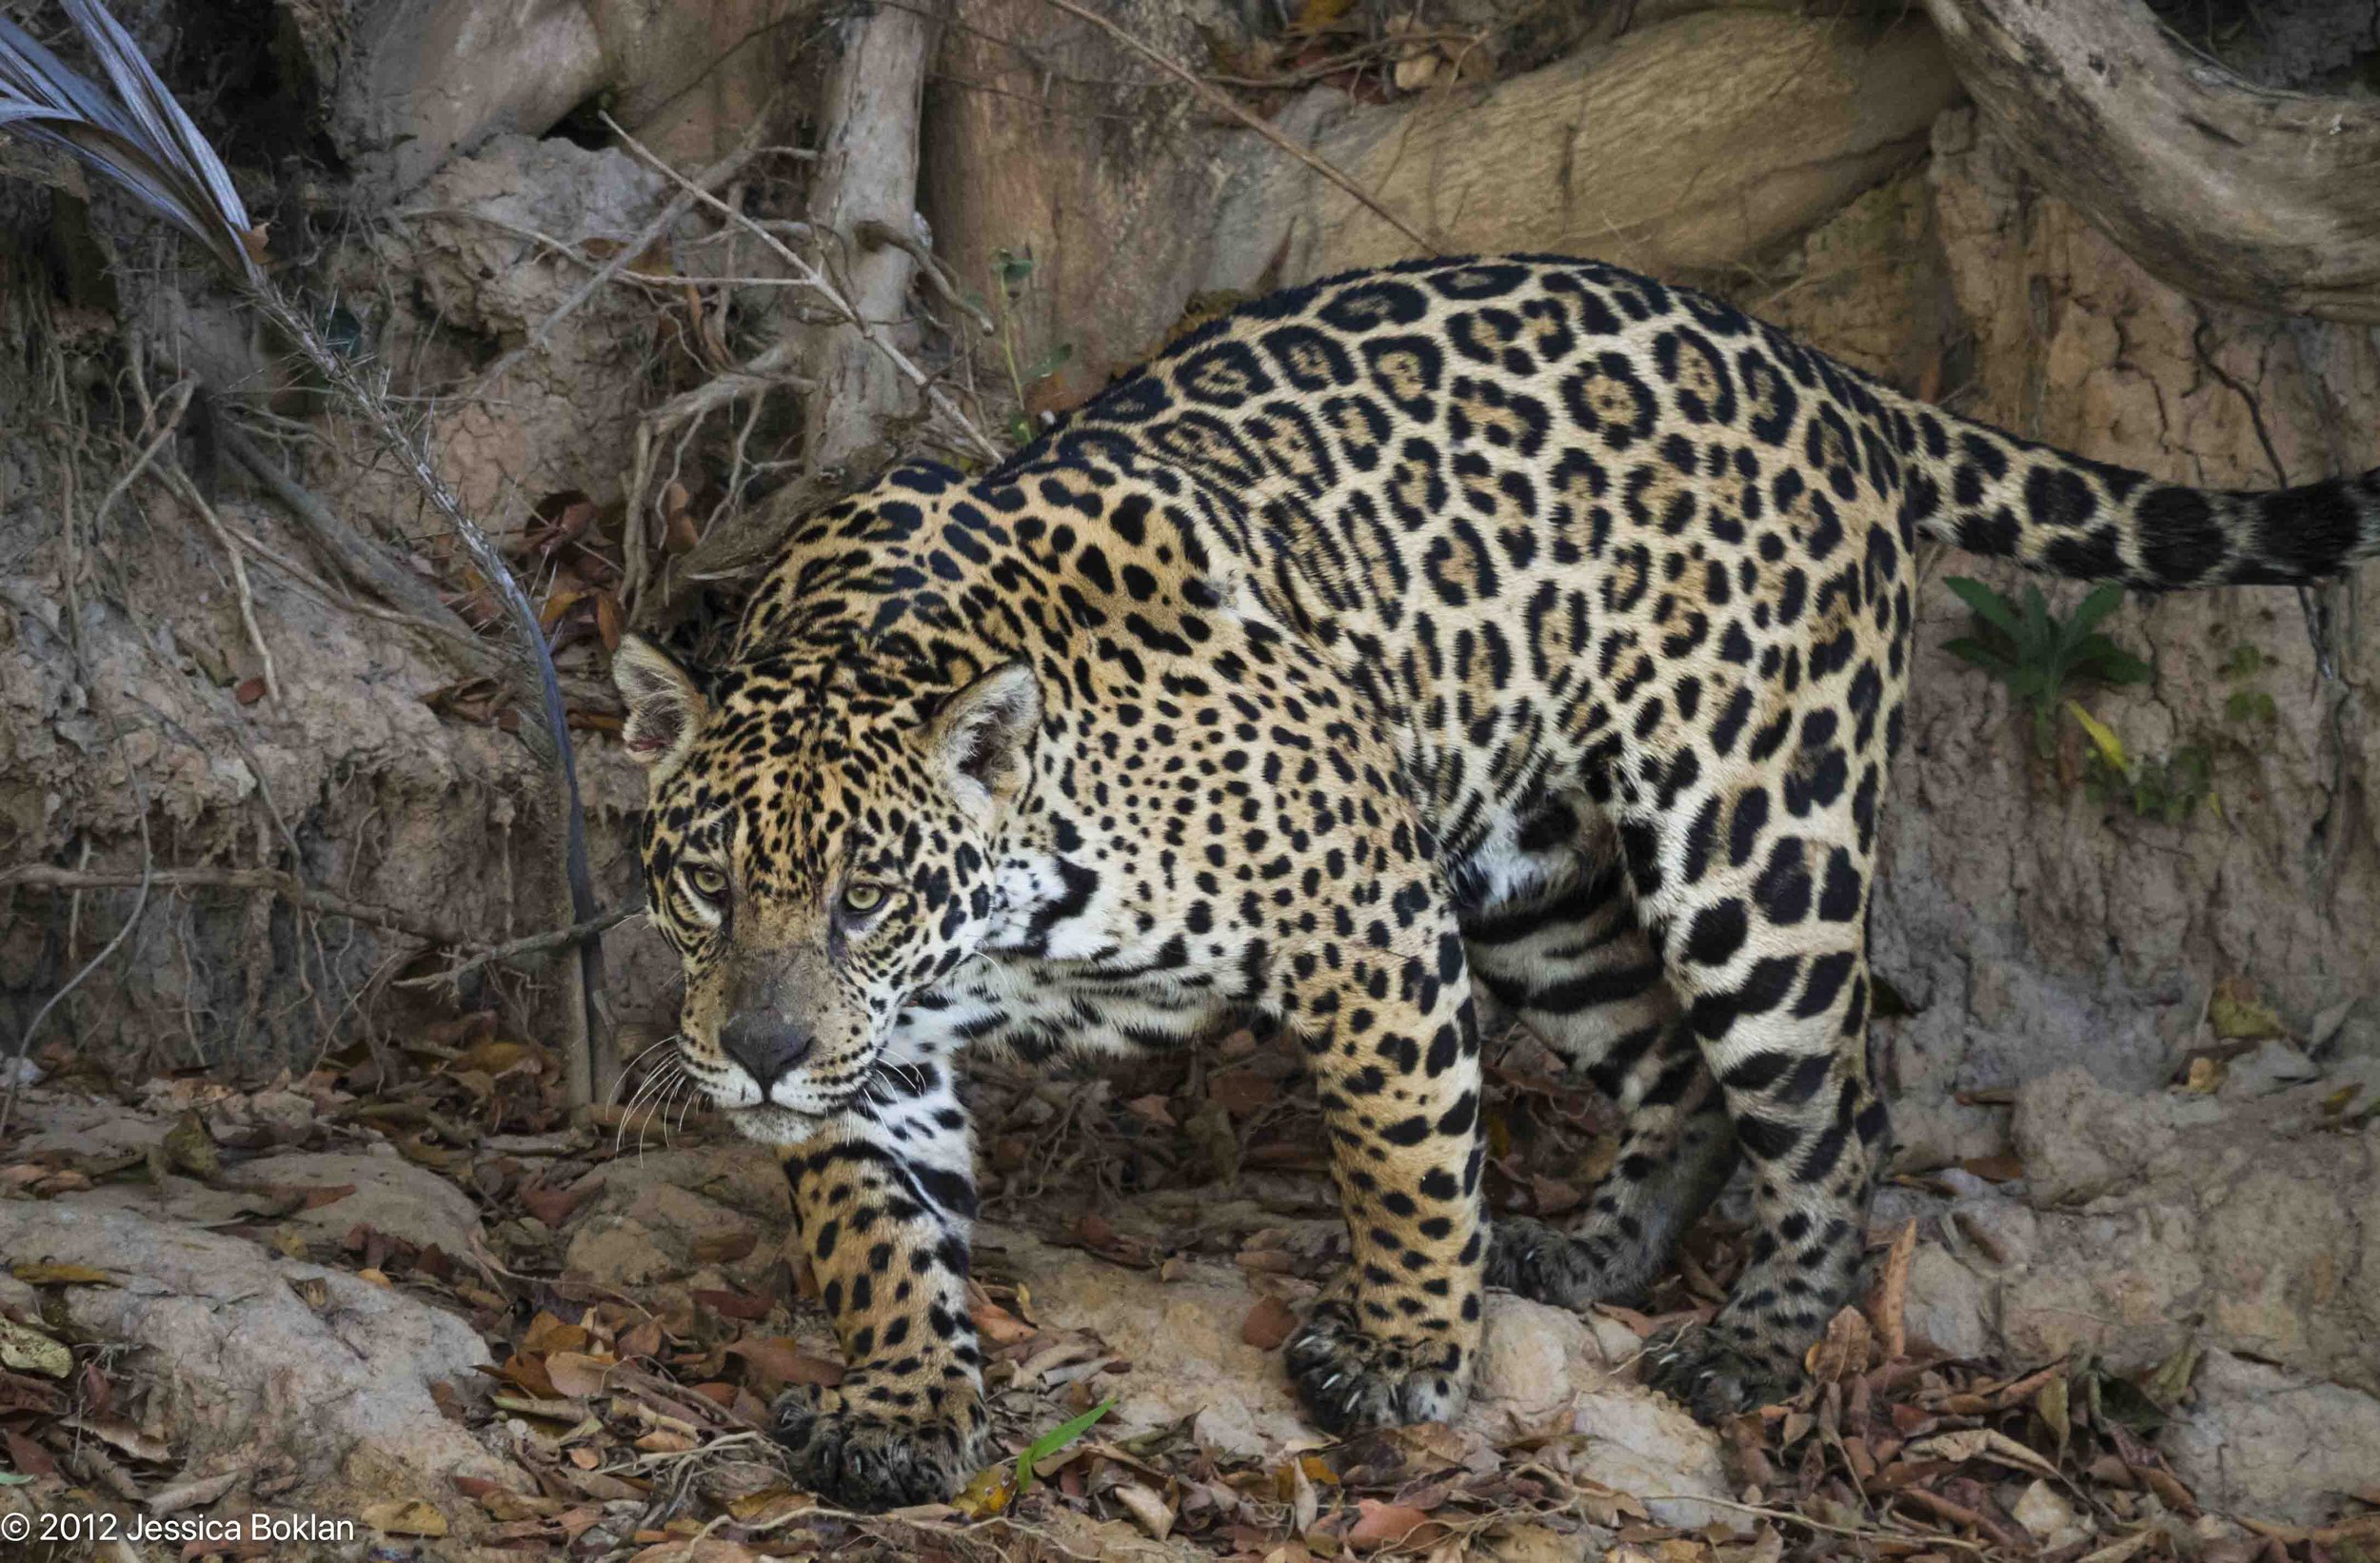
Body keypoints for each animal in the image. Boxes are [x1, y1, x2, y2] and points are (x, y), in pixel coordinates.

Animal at [611, 253, 2380, 1510]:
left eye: (868, 893)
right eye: (705, 880)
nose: (754, 1053)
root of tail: (1832, 377)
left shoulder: (1366, 925)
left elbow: (1405, 1160)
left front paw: (1401, 1351)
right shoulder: (883, 1055)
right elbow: (872, 1226)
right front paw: (902, 1401)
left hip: (1753, 844)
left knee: (1831, 1108)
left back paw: (1752, 1339)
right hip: (1536, 888)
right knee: (1672, 1073)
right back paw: (1591, 1257)